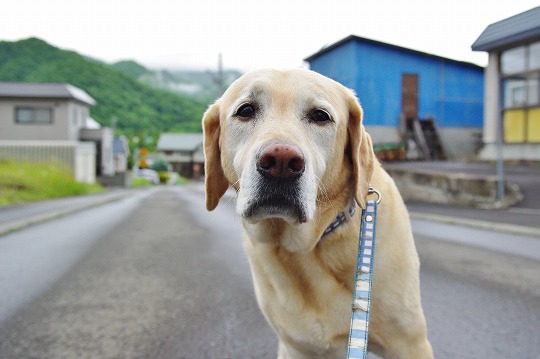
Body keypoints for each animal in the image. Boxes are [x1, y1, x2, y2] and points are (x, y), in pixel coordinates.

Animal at [202, 69, 434, 358]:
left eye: (320, 116)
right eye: (245, 110)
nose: (281, 162)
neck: (308, 247)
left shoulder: (409, 343)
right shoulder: (295, 346)